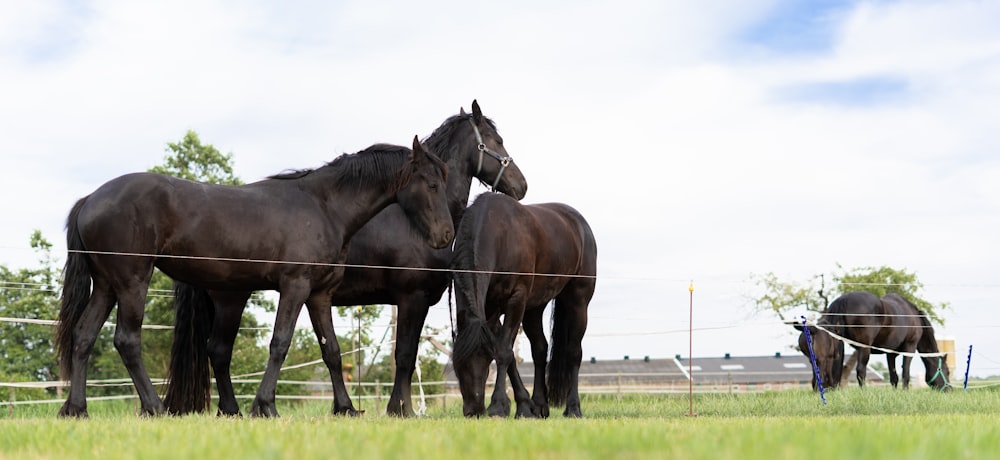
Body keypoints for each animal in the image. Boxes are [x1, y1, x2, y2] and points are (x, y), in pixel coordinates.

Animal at [54, 136, 454, 416]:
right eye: (431, 184)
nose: (446, 236)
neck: (322, 206)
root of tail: (90, 199)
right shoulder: (295, 286)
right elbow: (280, 343)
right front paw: (265, 406)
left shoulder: (319, 294)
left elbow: (332, 351)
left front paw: (345, 408)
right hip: (133, 283)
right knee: (127, 340)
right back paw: (155, 407)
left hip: (107, 286)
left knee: (84, 335)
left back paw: (76, 409)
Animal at [165, 100, 528, 416]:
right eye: (496, 141)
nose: (521, 186)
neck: (412, 220)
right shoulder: (413, 297)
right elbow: (405, 354)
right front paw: (401, 409)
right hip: (231, 296)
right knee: (219, 350)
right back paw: (232, 409)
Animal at [452, 192, 592, 418]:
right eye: (458, 364)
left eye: (485, 360)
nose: (474, 410)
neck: (500, 235)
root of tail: (580, 223)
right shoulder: (490, 311)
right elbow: (507, 353)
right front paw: (525, 406)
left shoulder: (516, 300)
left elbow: (503, 351)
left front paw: (498, 405)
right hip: (534, 309)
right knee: (540, 350)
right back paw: (541, 405)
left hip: (578, 302)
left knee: (573, 352)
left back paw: (573, 408)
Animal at [800, 292, 948, 390]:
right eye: (947, 371)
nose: (949, 389)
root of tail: (844, 299)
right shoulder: (910, 347)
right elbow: (905, 373)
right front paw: (905, 392)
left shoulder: (890, 353)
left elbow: (893, 376)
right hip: (864, 348)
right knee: (861, 370)